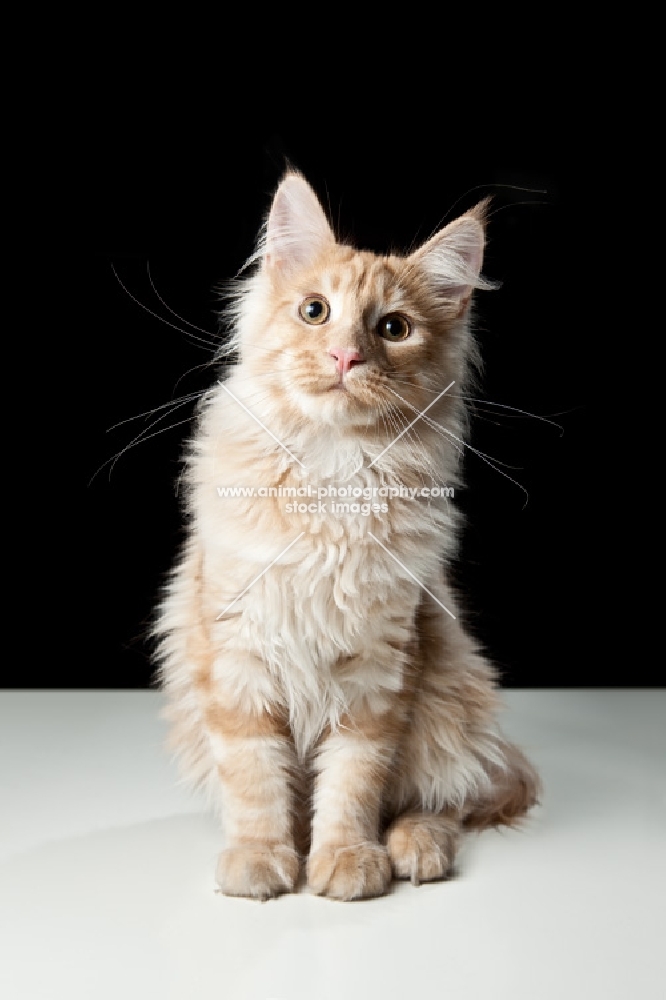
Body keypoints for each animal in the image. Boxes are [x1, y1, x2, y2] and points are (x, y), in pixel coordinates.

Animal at [154, 170, 540, 900]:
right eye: (314, 312)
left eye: (394, 328)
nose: (345, 355)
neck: (333, 477)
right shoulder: (238, 655)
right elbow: (255, 777)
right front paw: (263, 857)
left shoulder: (379, 670)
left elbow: (356, 782)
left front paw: (345, 858)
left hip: (451, 696)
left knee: (446, 797)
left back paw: (415, 847)